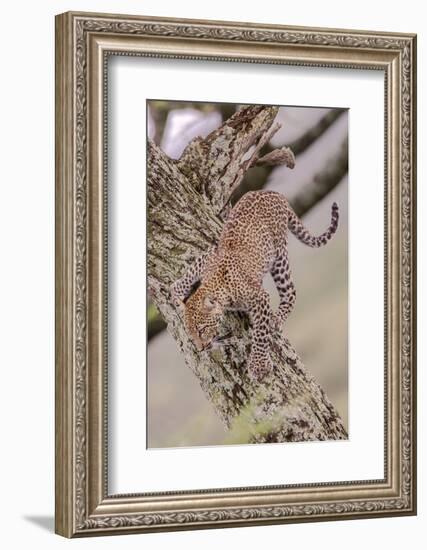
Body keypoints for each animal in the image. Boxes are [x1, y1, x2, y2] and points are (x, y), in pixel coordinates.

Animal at [171, 192, 342, 382]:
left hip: (279, 255)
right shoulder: (208, 256)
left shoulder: (259, 298)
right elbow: (190, 272)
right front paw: (176, 293)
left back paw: (276, 319)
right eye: (191, 334)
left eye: (202, 330)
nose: (201, 348)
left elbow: (260, 333)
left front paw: (259, 365)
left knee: (290, 291)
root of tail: (274, 193)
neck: (219, 286)